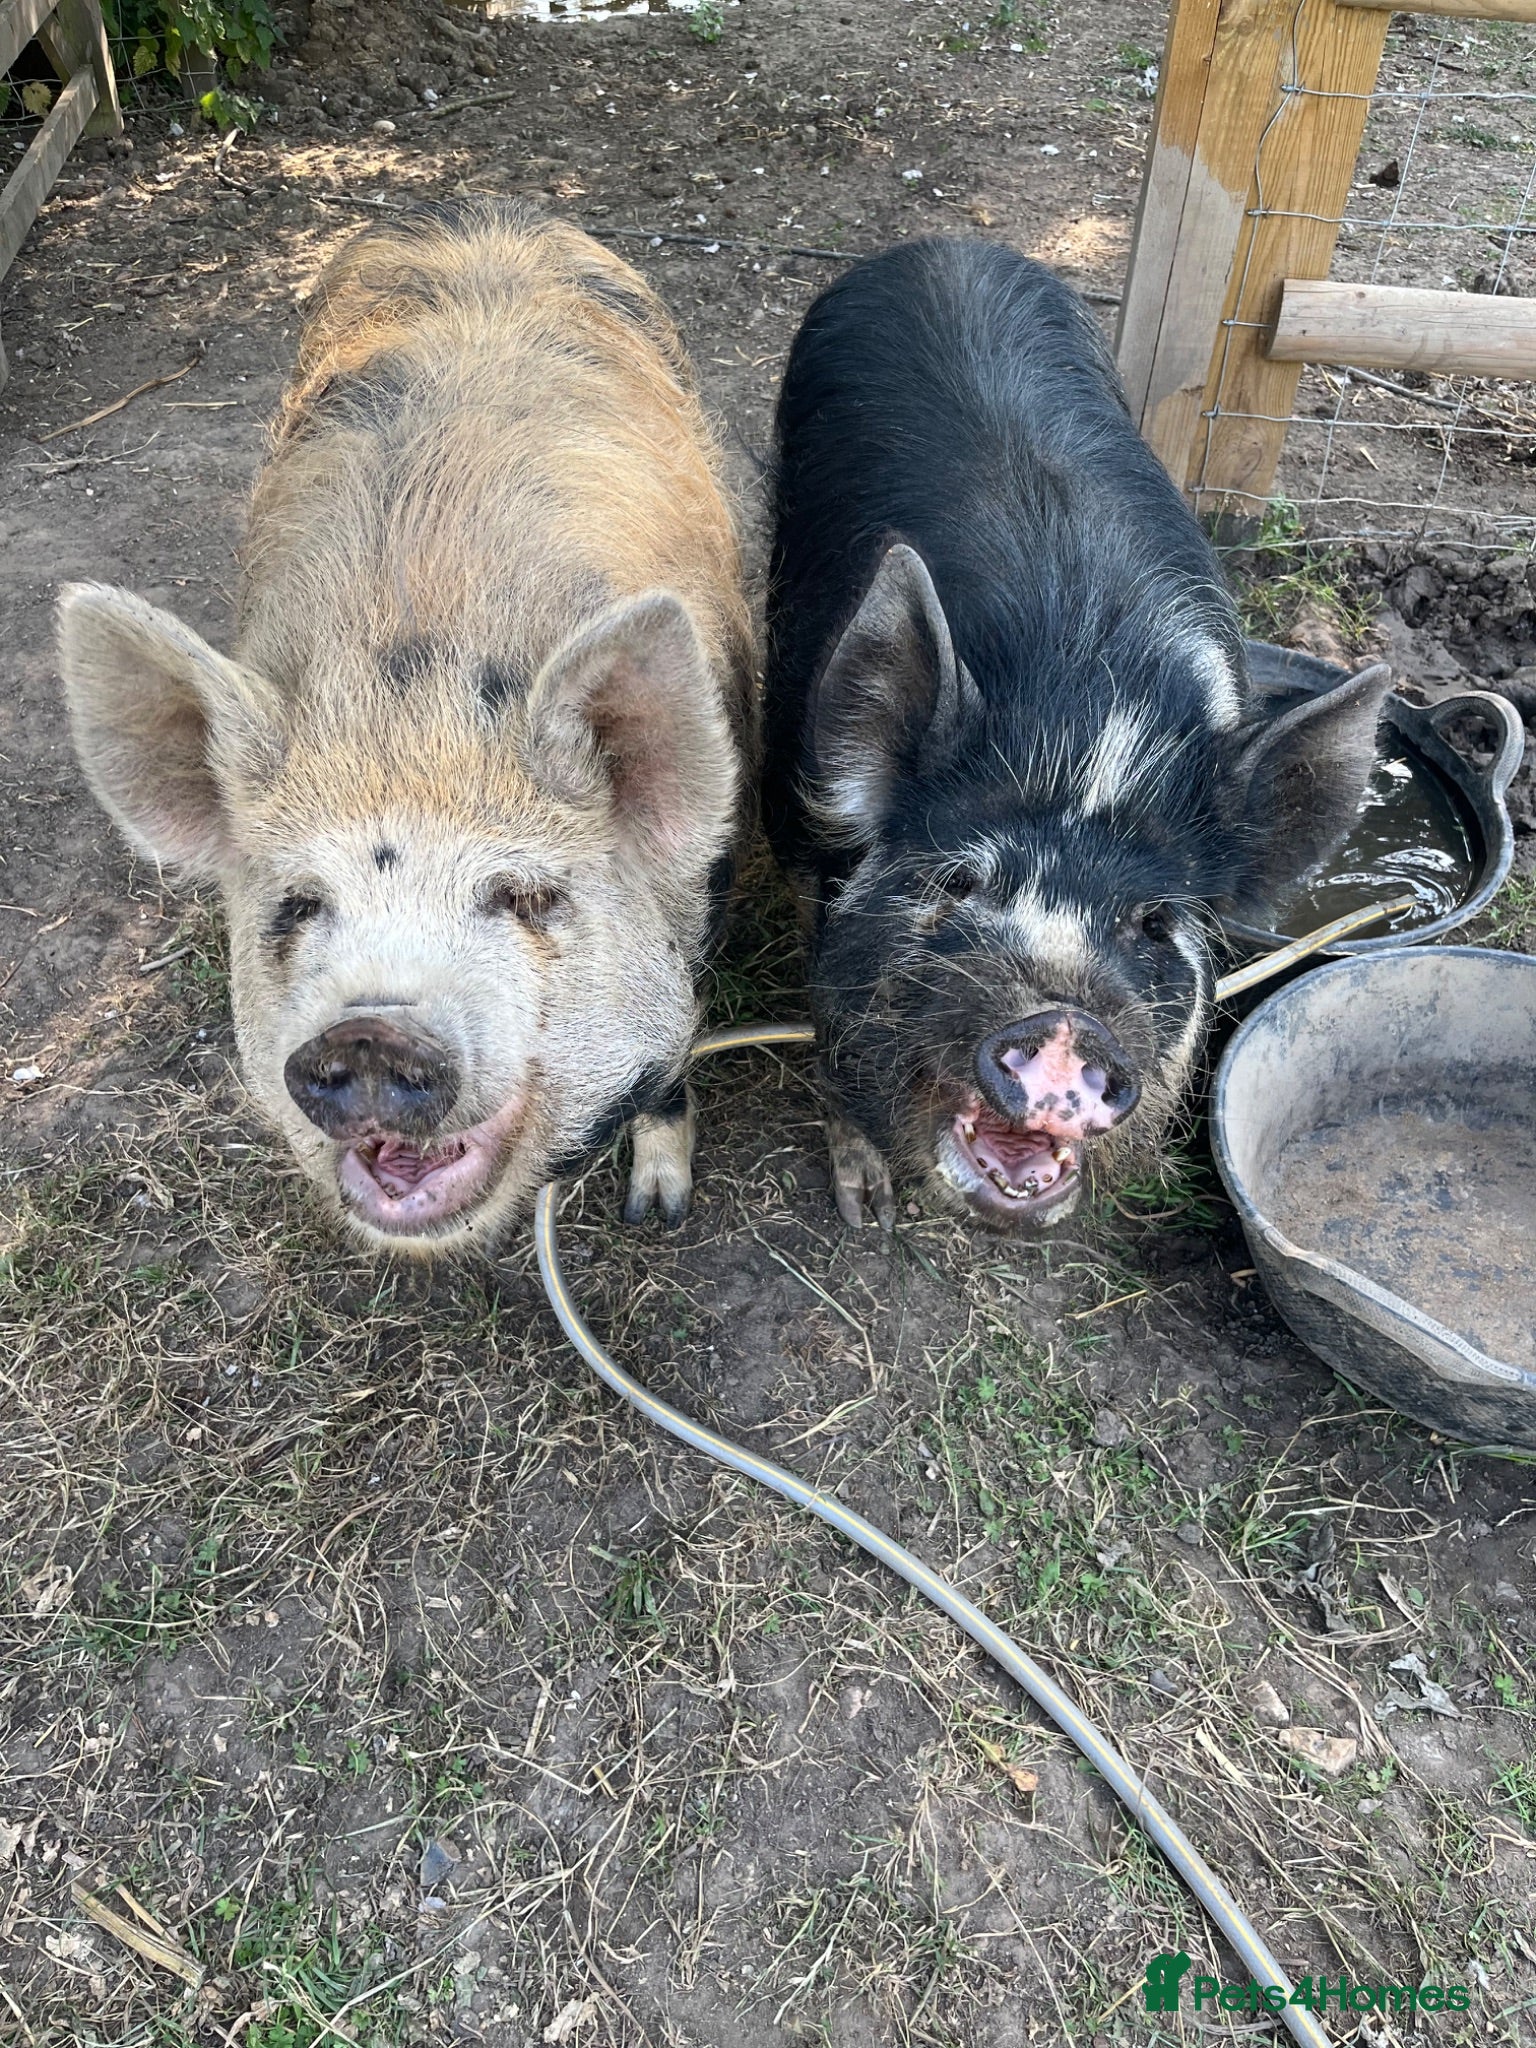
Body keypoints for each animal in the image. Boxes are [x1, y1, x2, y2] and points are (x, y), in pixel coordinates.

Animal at [57, 201, 754, 1253]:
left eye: (527, 896)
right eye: (299, 905)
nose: (370, 1029)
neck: (409, 682)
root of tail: (484, 219)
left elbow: (675, 1048)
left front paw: (657, 1210)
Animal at [763, 237, 1390, 1232]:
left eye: (1156, 921)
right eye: (959, 881)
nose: (1064, 1026)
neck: (1089, 728)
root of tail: (943, 246)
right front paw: (869, 1210)